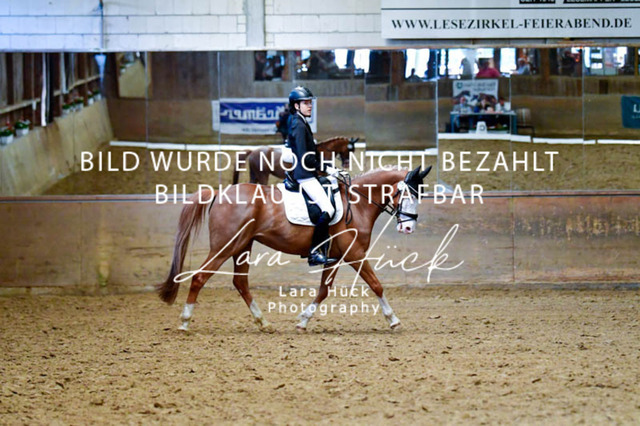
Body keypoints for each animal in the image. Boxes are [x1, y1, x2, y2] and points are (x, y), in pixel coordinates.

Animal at [157, 165, 431, 332]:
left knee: (241, 283)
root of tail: (219, 192)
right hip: (225, 245)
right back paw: (185, 322)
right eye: (409, 194)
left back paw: (263, 322)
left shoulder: (334, 257)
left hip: (243, 246)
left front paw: (302, 321)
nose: (408, 228)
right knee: (200, 277)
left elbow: (323, 290)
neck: (357, 202)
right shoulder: (354, 254)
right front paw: (393, 319)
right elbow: (376, 284)